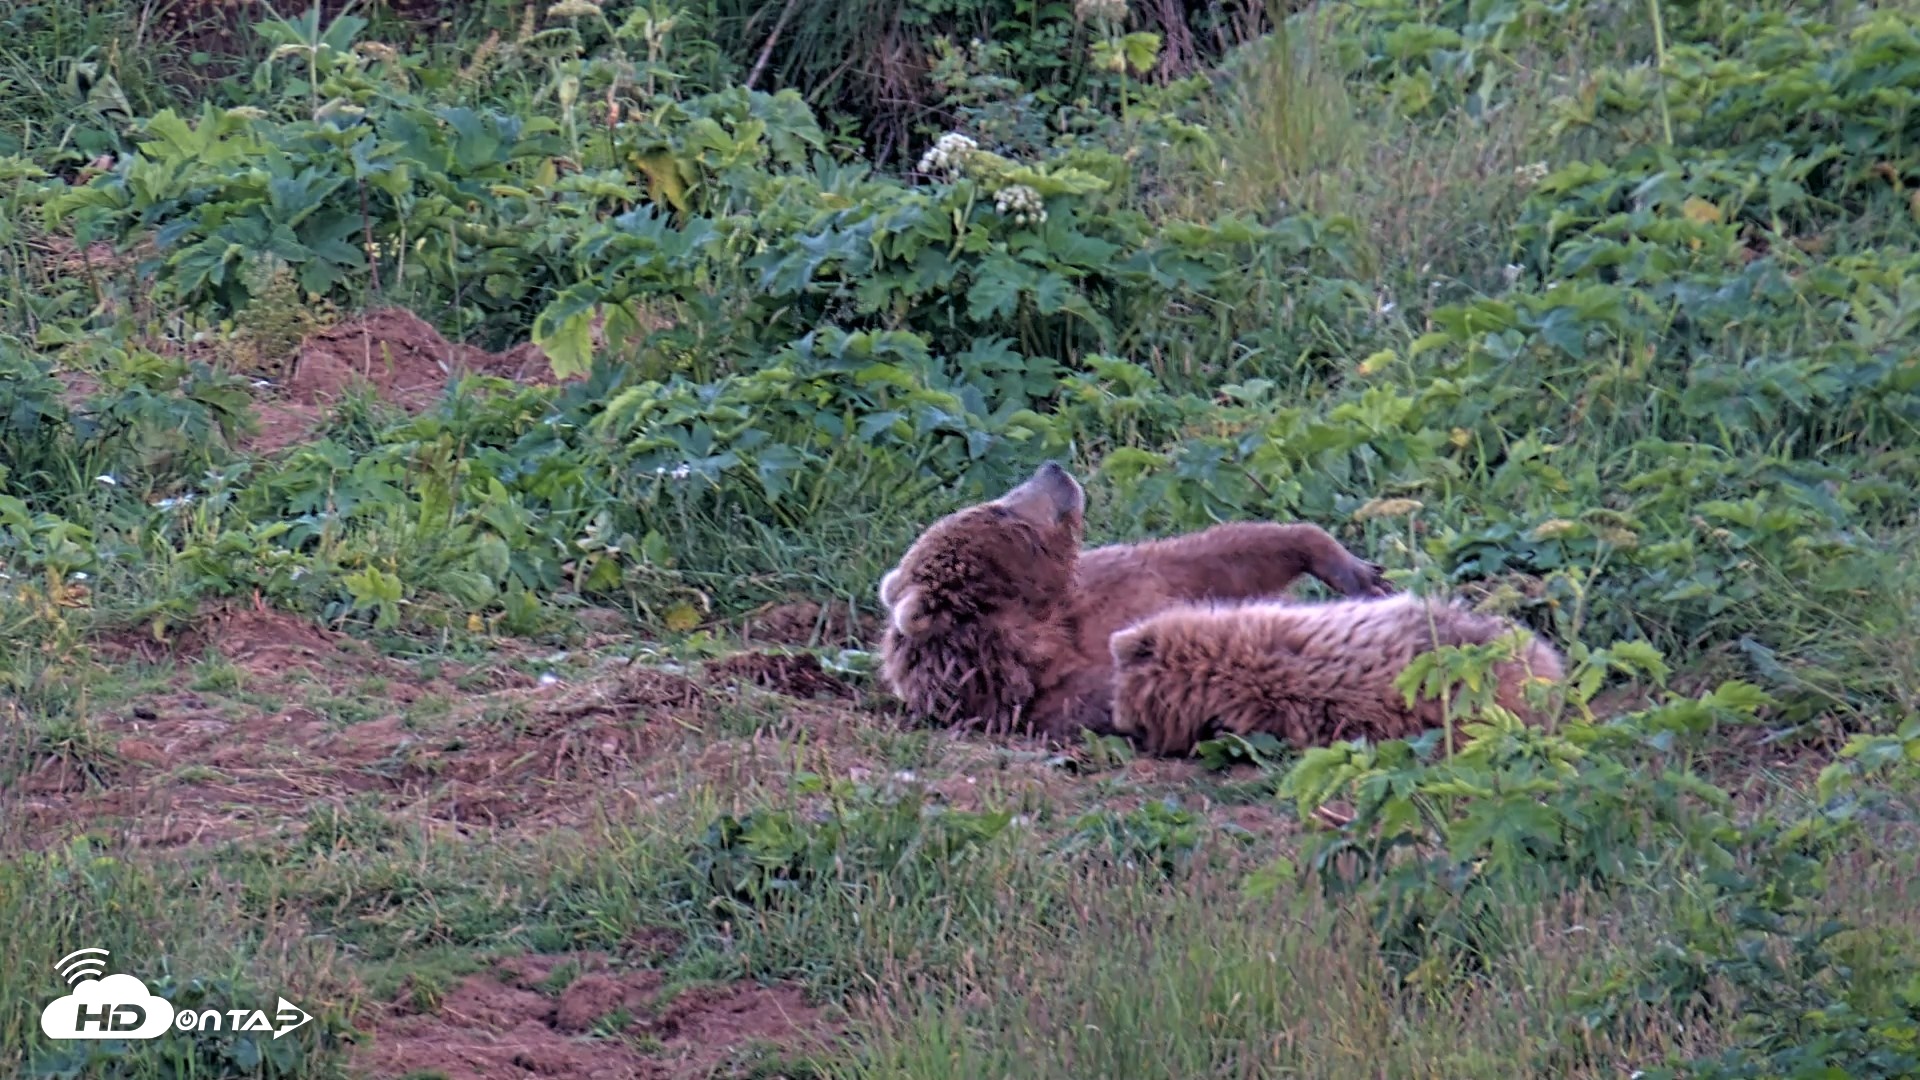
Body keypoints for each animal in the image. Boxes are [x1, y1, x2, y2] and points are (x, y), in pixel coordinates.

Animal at [875, 460, 1393, 741]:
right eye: (1000, 508)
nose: (1052, 468)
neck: (1047, 625)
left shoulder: (1112, 582)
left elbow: (1207, 561)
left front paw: (1353, 568)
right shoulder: (1068, 697)